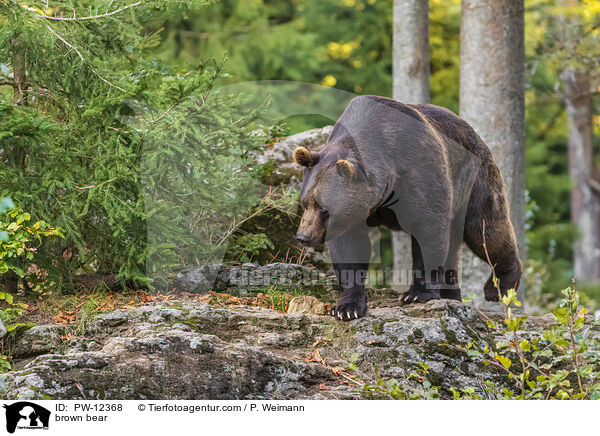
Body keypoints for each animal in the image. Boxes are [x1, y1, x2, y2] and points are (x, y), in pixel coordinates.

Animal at [294, 95, 520, 320]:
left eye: (322, 207)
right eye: (305, 202)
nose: (303, 236)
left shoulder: (419, 171)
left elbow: (428, 231)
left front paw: (417, 294)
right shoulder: (354, 214)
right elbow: (349, 248)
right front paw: (347, 307)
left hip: (473, 181)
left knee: (484, 229)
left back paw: (499, 285)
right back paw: (452, 294)